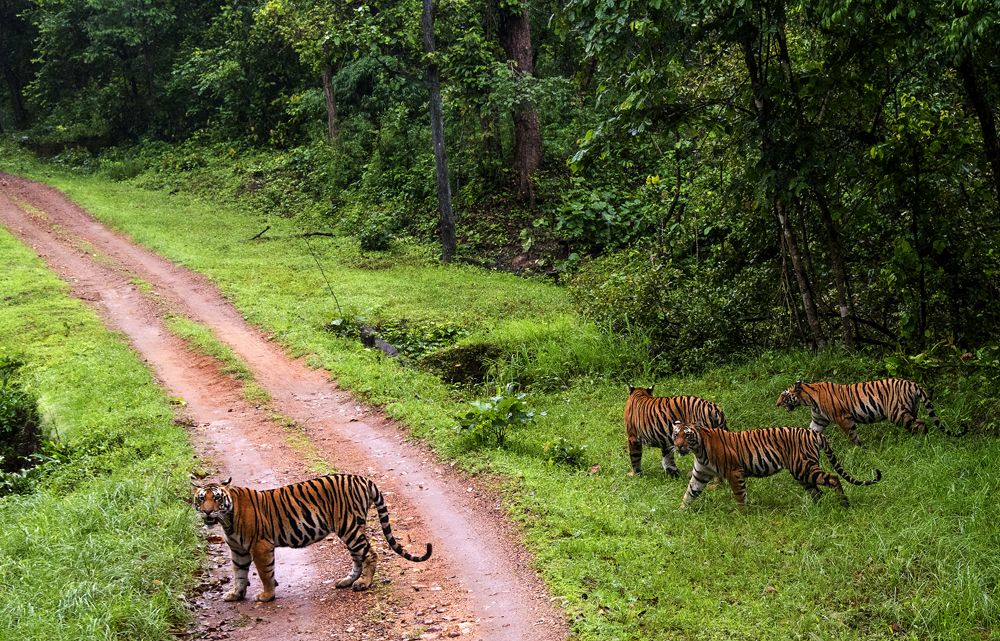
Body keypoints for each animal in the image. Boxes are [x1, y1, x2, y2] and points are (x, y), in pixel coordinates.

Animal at [189, 470, 432, 600]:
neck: (227, 520)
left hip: (349, 527)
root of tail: (362, 478)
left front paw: (266, 596)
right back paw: (347, 581)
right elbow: (239, 573)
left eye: (217, 498)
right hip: (352, 530)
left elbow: (265, 573)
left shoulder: (260, 546)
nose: (208, 511)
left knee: (370, 554)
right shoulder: (238, 549)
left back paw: (364, 583)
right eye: (202, 498)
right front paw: (236, 595)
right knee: (358, 557)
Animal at [672, 420, 884, 510]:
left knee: (833, 478)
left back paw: (843, 504)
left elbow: (740, 495)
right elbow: (689, 493)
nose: (678, 446)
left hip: (804, 467)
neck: (699, 450)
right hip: (802, 472)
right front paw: (681, 512)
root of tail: (814, 432)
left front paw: (742, 515)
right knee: (818, 491)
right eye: (676, 434)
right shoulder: (700, 474)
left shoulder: (734, 472)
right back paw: (816, 509)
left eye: (687, 435)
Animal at [776, 376, 964, 444]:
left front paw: (857, 450)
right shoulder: (819, 420)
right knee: (915, 424)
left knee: (922, 423)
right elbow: (811, 431)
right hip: (910, 410)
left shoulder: (843, 417)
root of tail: (913, 384)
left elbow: (852, 435)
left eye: (784, 396)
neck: (809, 399)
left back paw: (923, 442)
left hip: (897, 413)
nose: (777, 404)